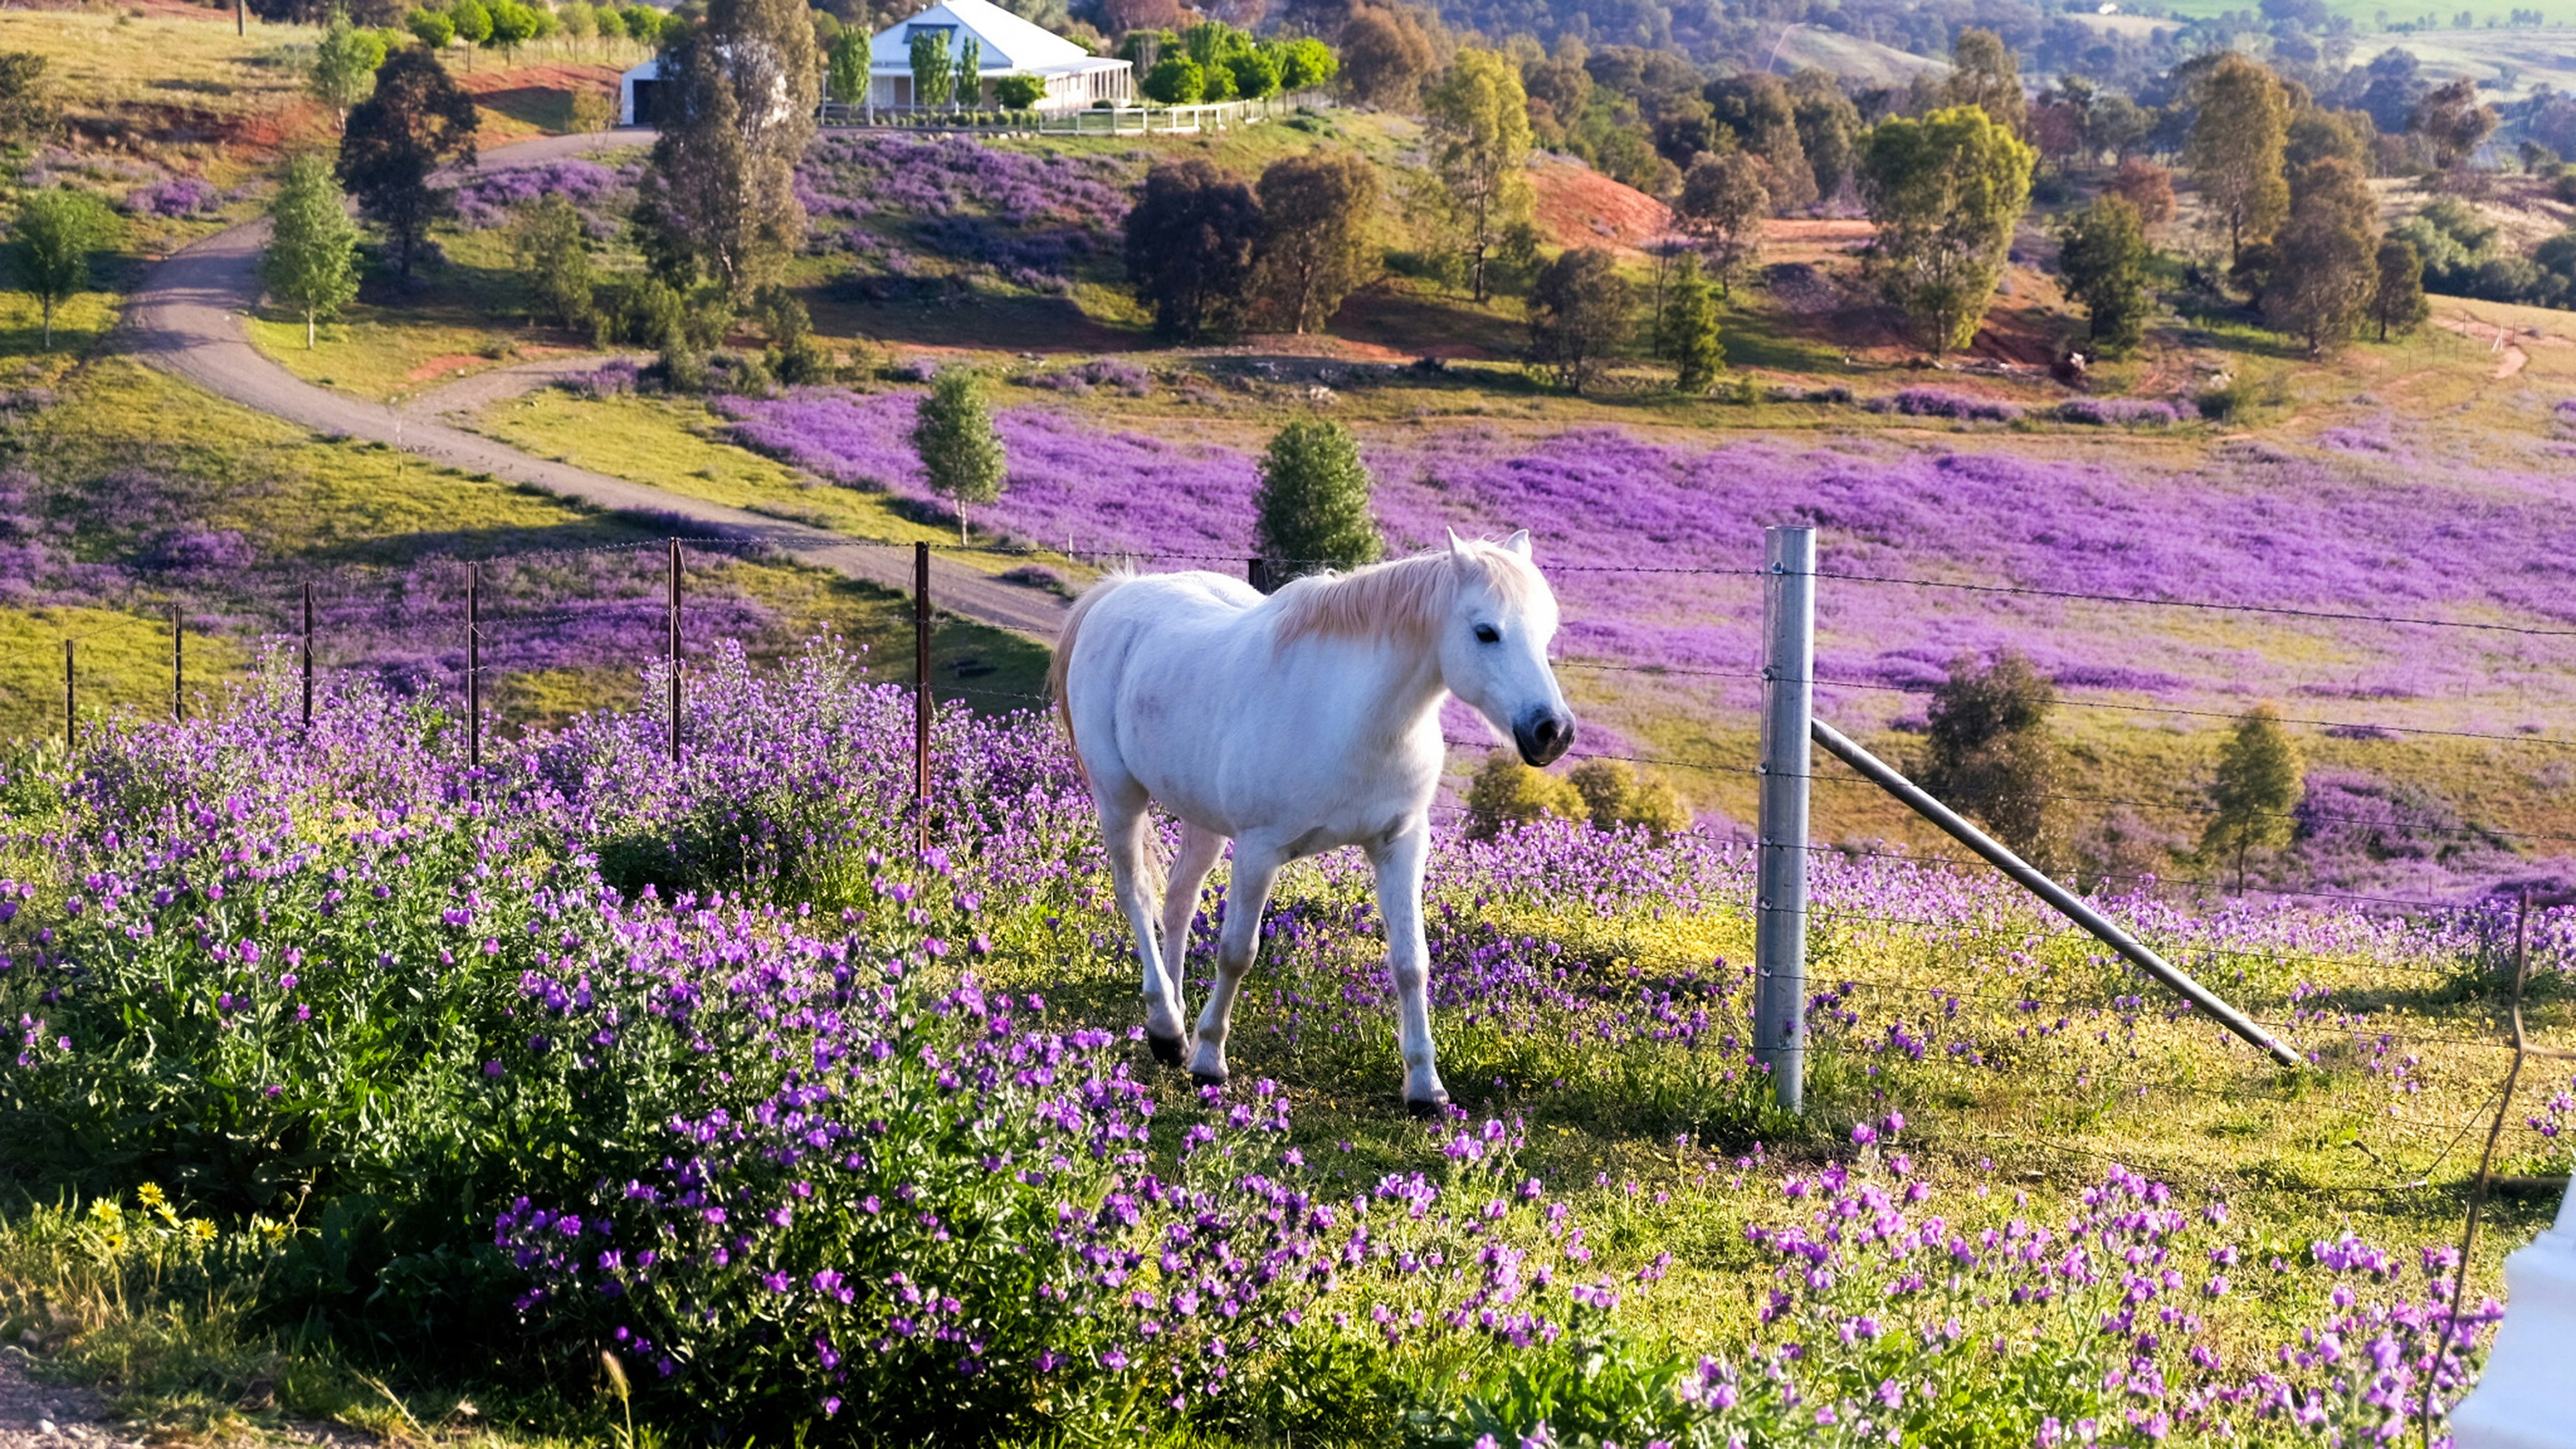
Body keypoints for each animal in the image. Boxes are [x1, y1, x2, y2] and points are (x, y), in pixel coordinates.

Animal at [1040, 527, 1566, 1116]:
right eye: (1486, 632)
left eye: (1546, 632)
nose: (1553, 731)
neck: (1351, 716)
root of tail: (1118, 593)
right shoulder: (1259, 851)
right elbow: (1236, 953)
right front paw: (1209, 1062)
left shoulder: (1401, 844)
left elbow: (1412, 962)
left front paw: (1425, 1088)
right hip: (1119, 796)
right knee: (1137, 895)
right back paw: (1167, 1027)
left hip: (1204, 821)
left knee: (1177, 903)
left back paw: (1173, 1027)